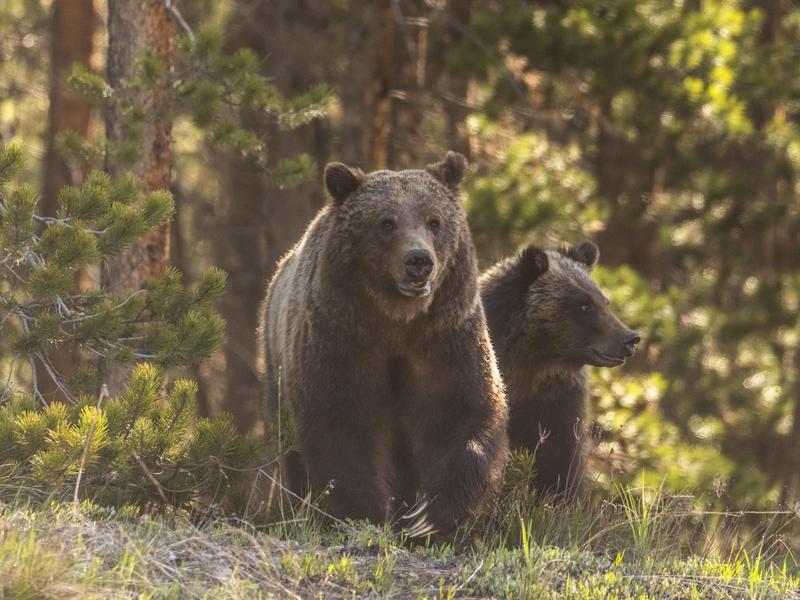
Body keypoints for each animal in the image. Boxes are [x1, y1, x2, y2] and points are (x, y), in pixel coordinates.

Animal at [266, 152, 510, 536]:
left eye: (434, 220)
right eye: (386, 222)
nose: (419, 260)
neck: (396, 322)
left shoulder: (445, 342)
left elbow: (463, 412)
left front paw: (426, 516)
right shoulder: (340, 342)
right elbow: (343, 430)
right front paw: (367, 513)